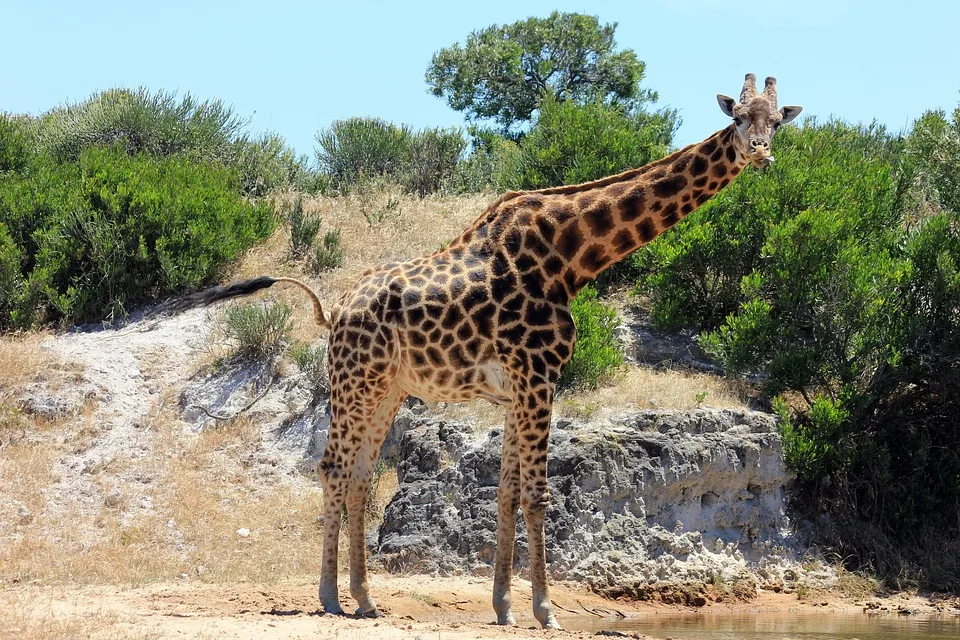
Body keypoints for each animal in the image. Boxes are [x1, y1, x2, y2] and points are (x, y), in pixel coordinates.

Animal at [161, 74, 800, 624]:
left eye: (778, 121)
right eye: (738, 118)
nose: (761, 152)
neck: (572, 259)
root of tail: (335, 311)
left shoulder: (521, 387)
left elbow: (508, 491)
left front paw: (504, 606)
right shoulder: (540, 376)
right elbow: (538, 495)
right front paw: (544, 611)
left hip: (386, 390)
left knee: (363, 474)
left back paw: (365, 599)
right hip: (354, 381)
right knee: (333, 467)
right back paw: (329, 597)